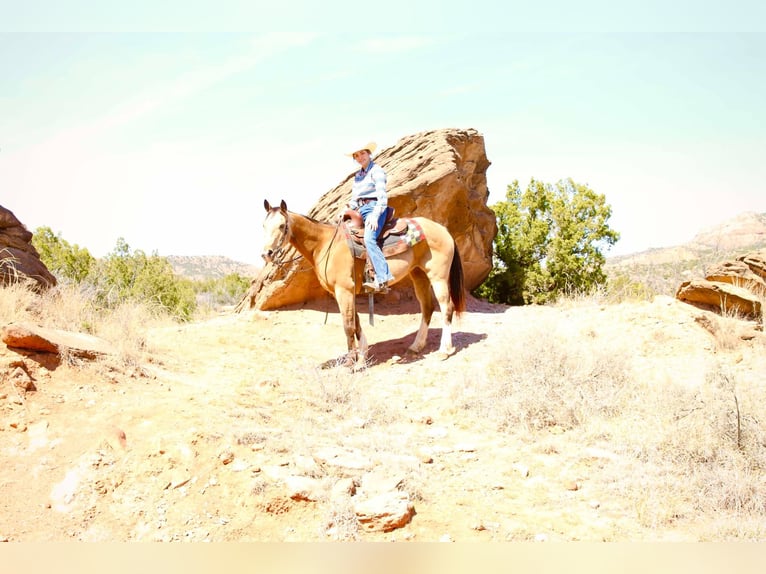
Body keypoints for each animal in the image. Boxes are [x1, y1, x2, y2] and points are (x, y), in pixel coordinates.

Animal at [261, 199, 465, 366]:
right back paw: (416, 346)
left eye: (282, 225)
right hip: (419, 275)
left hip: (438, 276)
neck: (326, 244)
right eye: (263, 225)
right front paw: (363, 355)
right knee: (427, 308)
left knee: (446, 308)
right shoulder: (345, 291)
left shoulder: (343, 289)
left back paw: (444, 350)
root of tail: (443, 229)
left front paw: (351, 361)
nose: (266, 254)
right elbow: (356, 322)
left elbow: (348, 325)